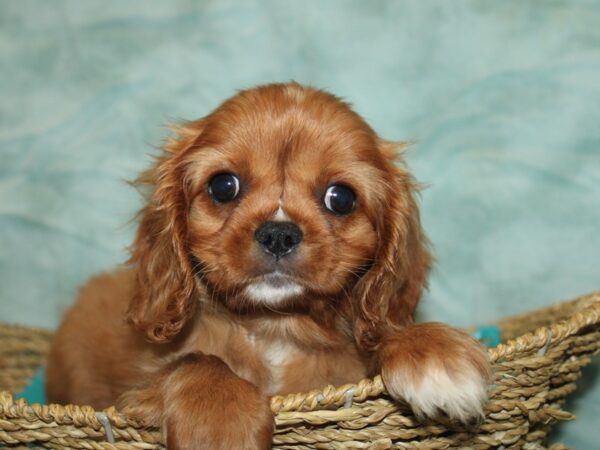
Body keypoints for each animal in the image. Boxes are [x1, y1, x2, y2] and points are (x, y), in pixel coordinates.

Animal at [47, 82, 492, 448]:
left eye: (341, 198)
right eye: (223, 186)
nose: (279, 233)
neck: (276, 328)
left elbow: (386, 331)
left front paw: (433, 352)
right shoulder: (136, 388)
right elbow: (197, 360)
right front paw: (219, 423)